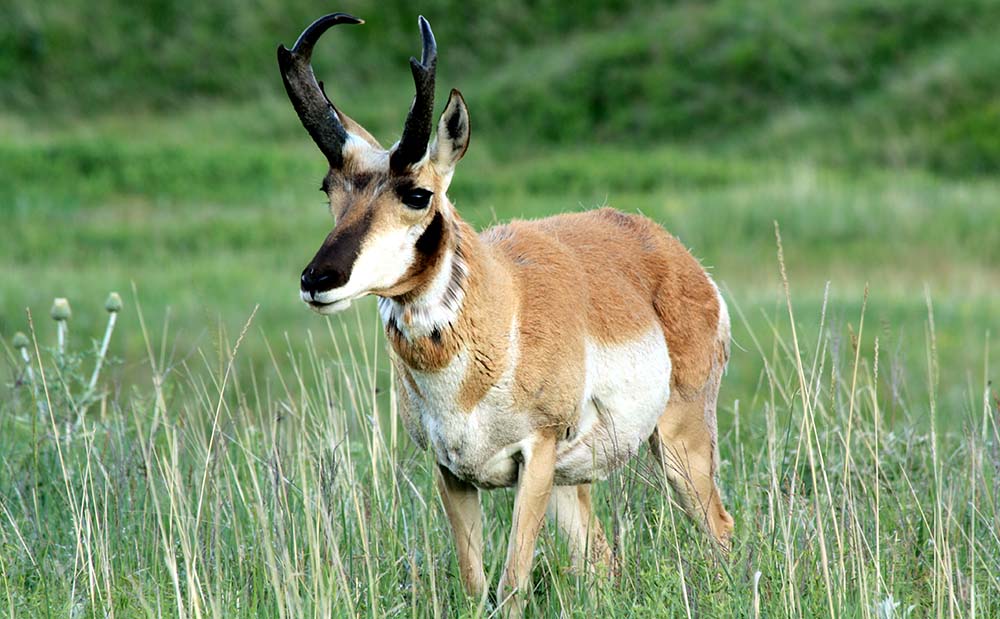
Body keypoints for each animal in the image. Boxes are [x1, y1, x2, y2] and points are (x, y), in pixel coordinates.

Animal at [278, 12, 732, 612]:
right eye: (329, 188)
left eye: (418, 194)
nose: (317, 280)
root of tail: (672, 252)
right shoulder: (451, 472)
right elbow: (474, 585)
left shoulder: (535, 456)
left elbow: (512, 583)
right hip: (572, 483)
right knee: (602, 560)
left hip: (678, 441)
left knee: (718, 528)